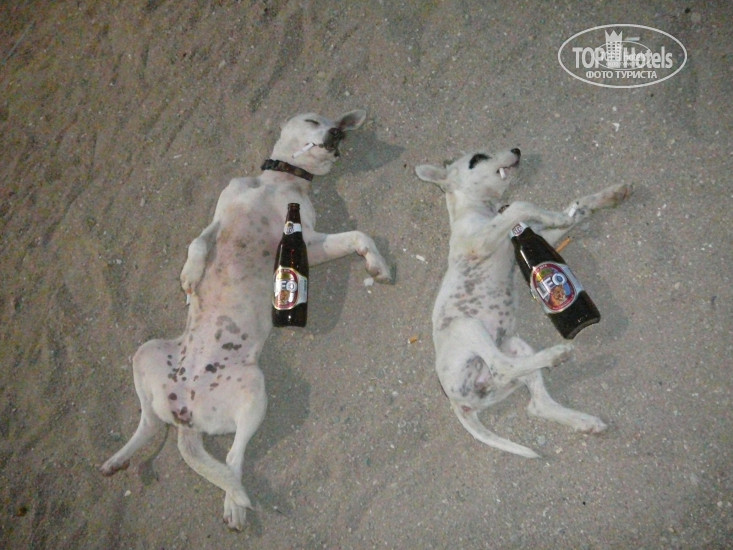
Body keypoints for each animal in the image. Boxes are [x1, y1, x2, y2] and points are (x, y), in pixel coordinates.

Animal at [101, 110, 392, 530]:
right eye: (313, 119)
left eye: (340, 140)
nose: (337, 133)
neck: (277, 183)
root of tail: (186, 414)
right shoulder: (221, 216)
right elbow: (197, 243)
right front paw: (190, 276)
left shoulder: (309, 241)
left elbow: (358, 235)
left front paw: (378, 263)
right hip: (145, 352)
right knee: (150, 424)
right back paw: (118, 459)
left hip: (254, 390)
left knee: (232, 459)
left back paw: (234, 503)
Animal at [415, 148, 631, 458]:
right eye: (478, 158)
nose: (516, 150)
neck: (481, 211)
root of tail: (457, 402)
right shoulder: (480, 242)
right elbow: (520, 205)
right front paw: (558, 214)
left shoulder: (537, 237)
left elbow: (572, 212)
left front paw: (607, 197)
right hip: (467, 326)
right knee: (501, 366)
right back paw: (556, 355)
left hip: (514, 346)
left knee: (535, 401)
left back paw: (584, 421)